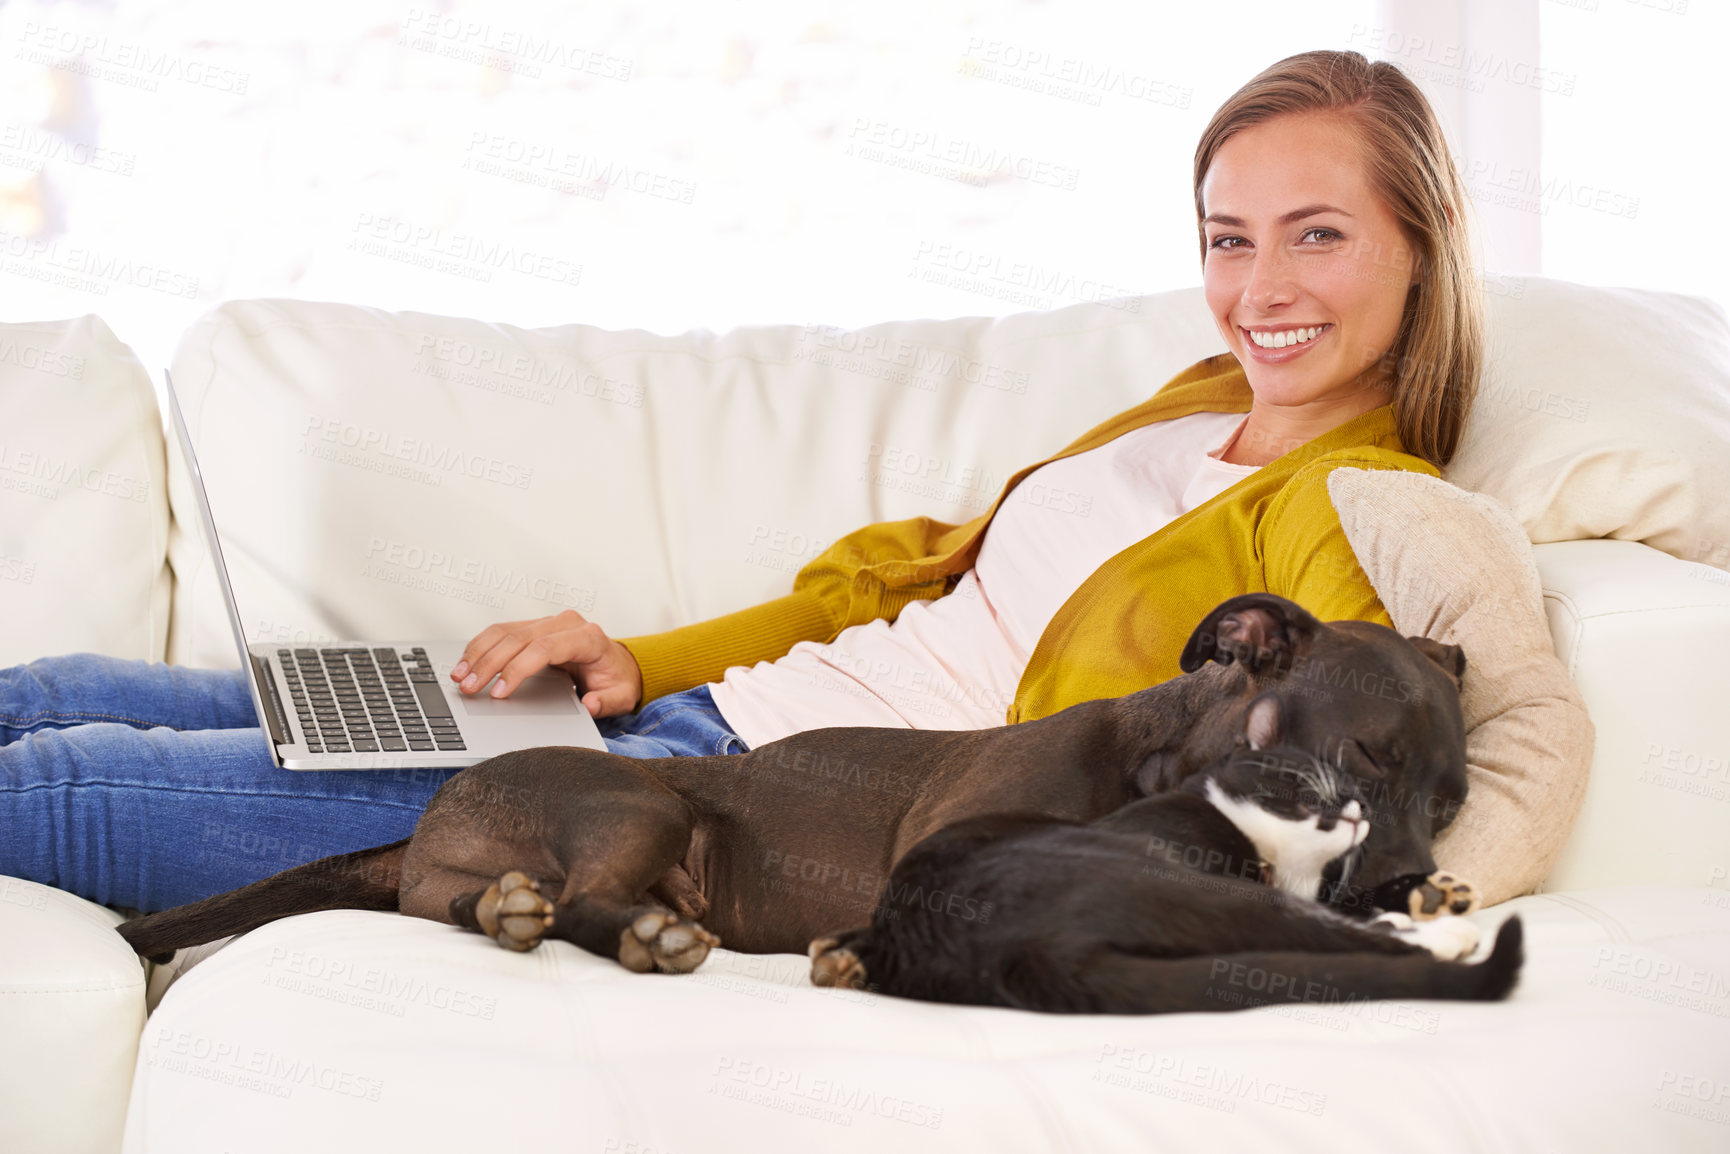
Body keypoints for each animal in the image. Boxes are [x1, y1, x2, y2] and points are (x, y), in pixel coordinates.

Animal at [121, 595, 1473, 975]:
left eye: (1452, 794)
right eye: (1362, 755)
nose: (1409, 873)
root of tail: (429, 815)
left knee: (500, 908)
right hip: (644, 803)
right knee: (576, 903)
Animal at [806, 695, 1515, 1010]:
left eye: (1354, 784)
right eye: (1302, 783)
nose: (1357, 809)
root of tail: (1011, 953)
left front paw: (1429, 892)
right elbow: (1345, 918)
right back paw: (1449, 938)